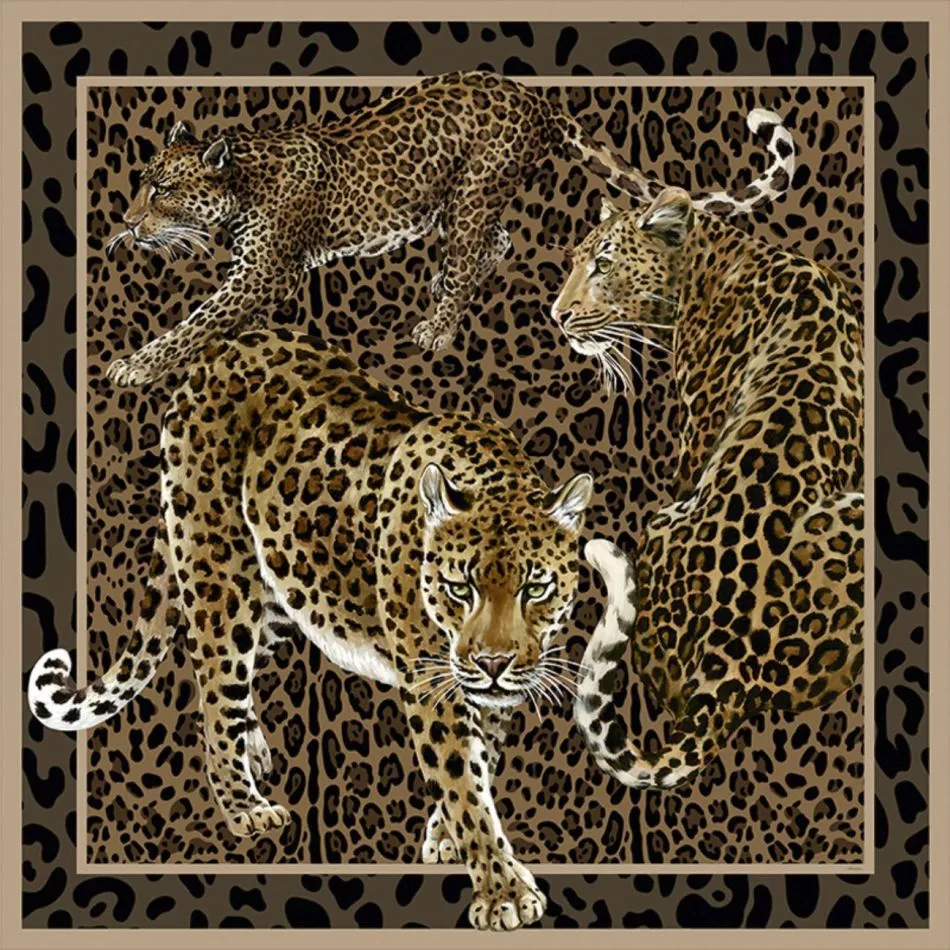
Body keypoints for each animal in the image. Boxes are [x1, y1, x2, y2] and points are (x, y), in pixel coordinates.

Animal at [29, 327, 597, 931]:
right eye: (458, 588)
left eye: (535, 588)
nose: (493, 663)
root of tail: (224, 349)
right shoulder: (431, 682)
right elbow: (462, 780)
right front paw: (503, 892)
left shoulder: (487, 688)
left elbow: (480, 759)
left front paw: (447, 839)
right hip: (219, 574)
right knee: (213, 688)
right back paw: (245, 806)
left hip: (282, 590)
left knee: (235, 678)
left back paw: (253, 746)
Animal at [103, 70, 795, 387]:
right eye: (141, 180)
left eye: (162, 191)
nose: (127, 223)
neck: (244, 178)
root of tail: (532, 96)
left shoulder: (264, 272)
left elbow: (197, 322)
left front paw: (135, 365)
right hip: (454, 202)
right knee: (495, 243)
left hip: (471, 191)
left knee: (475, 253)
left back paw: (437, 325)